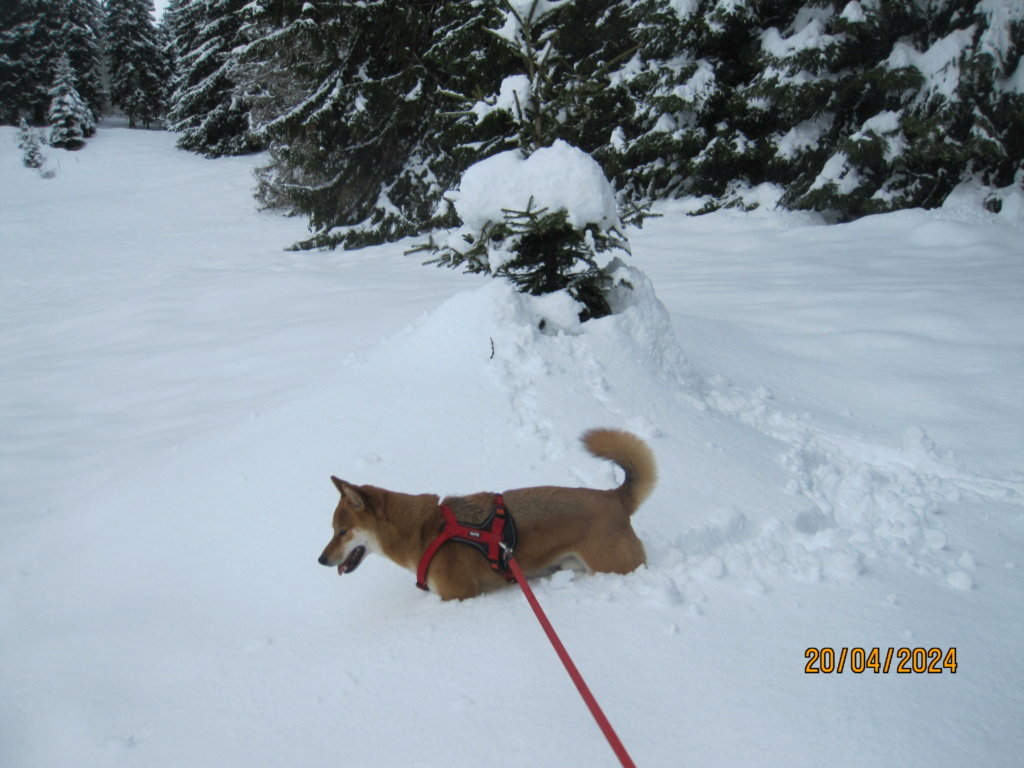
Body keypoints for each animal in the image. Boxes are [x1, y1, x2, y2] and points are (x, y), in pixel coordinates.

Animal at [315, 428, 659, 602]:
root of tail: (614, 496)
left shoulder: (458, 596)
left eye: (341, 532)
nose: (320, 560)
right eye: (332, 530)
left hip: (612, 566)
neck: (426, 531)